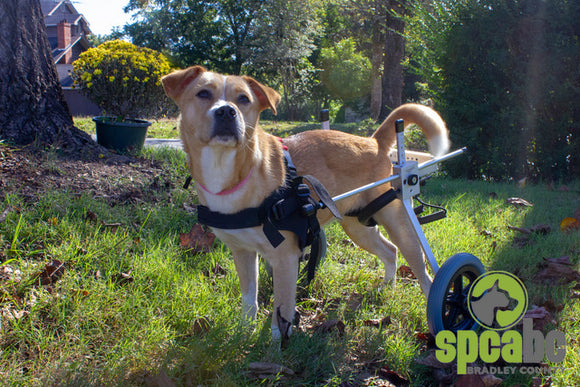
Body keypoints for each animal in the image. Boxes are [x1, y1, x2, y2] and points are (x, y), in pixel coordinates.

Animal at [161, 66, 450, 342]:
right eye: (203, 94)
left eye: (243, 99)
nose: (226, 112)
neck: (233, 172)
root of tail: (373, 141)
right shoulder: (243, 253)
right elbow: (249, 300)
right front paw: (244, 334)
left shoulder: (285, 258)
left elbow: (281, 312)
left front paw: (275, 348)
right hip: (358, 227)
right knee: (390, 251)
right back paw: (386, 287)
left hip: (398, 223)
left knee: (424, 272)